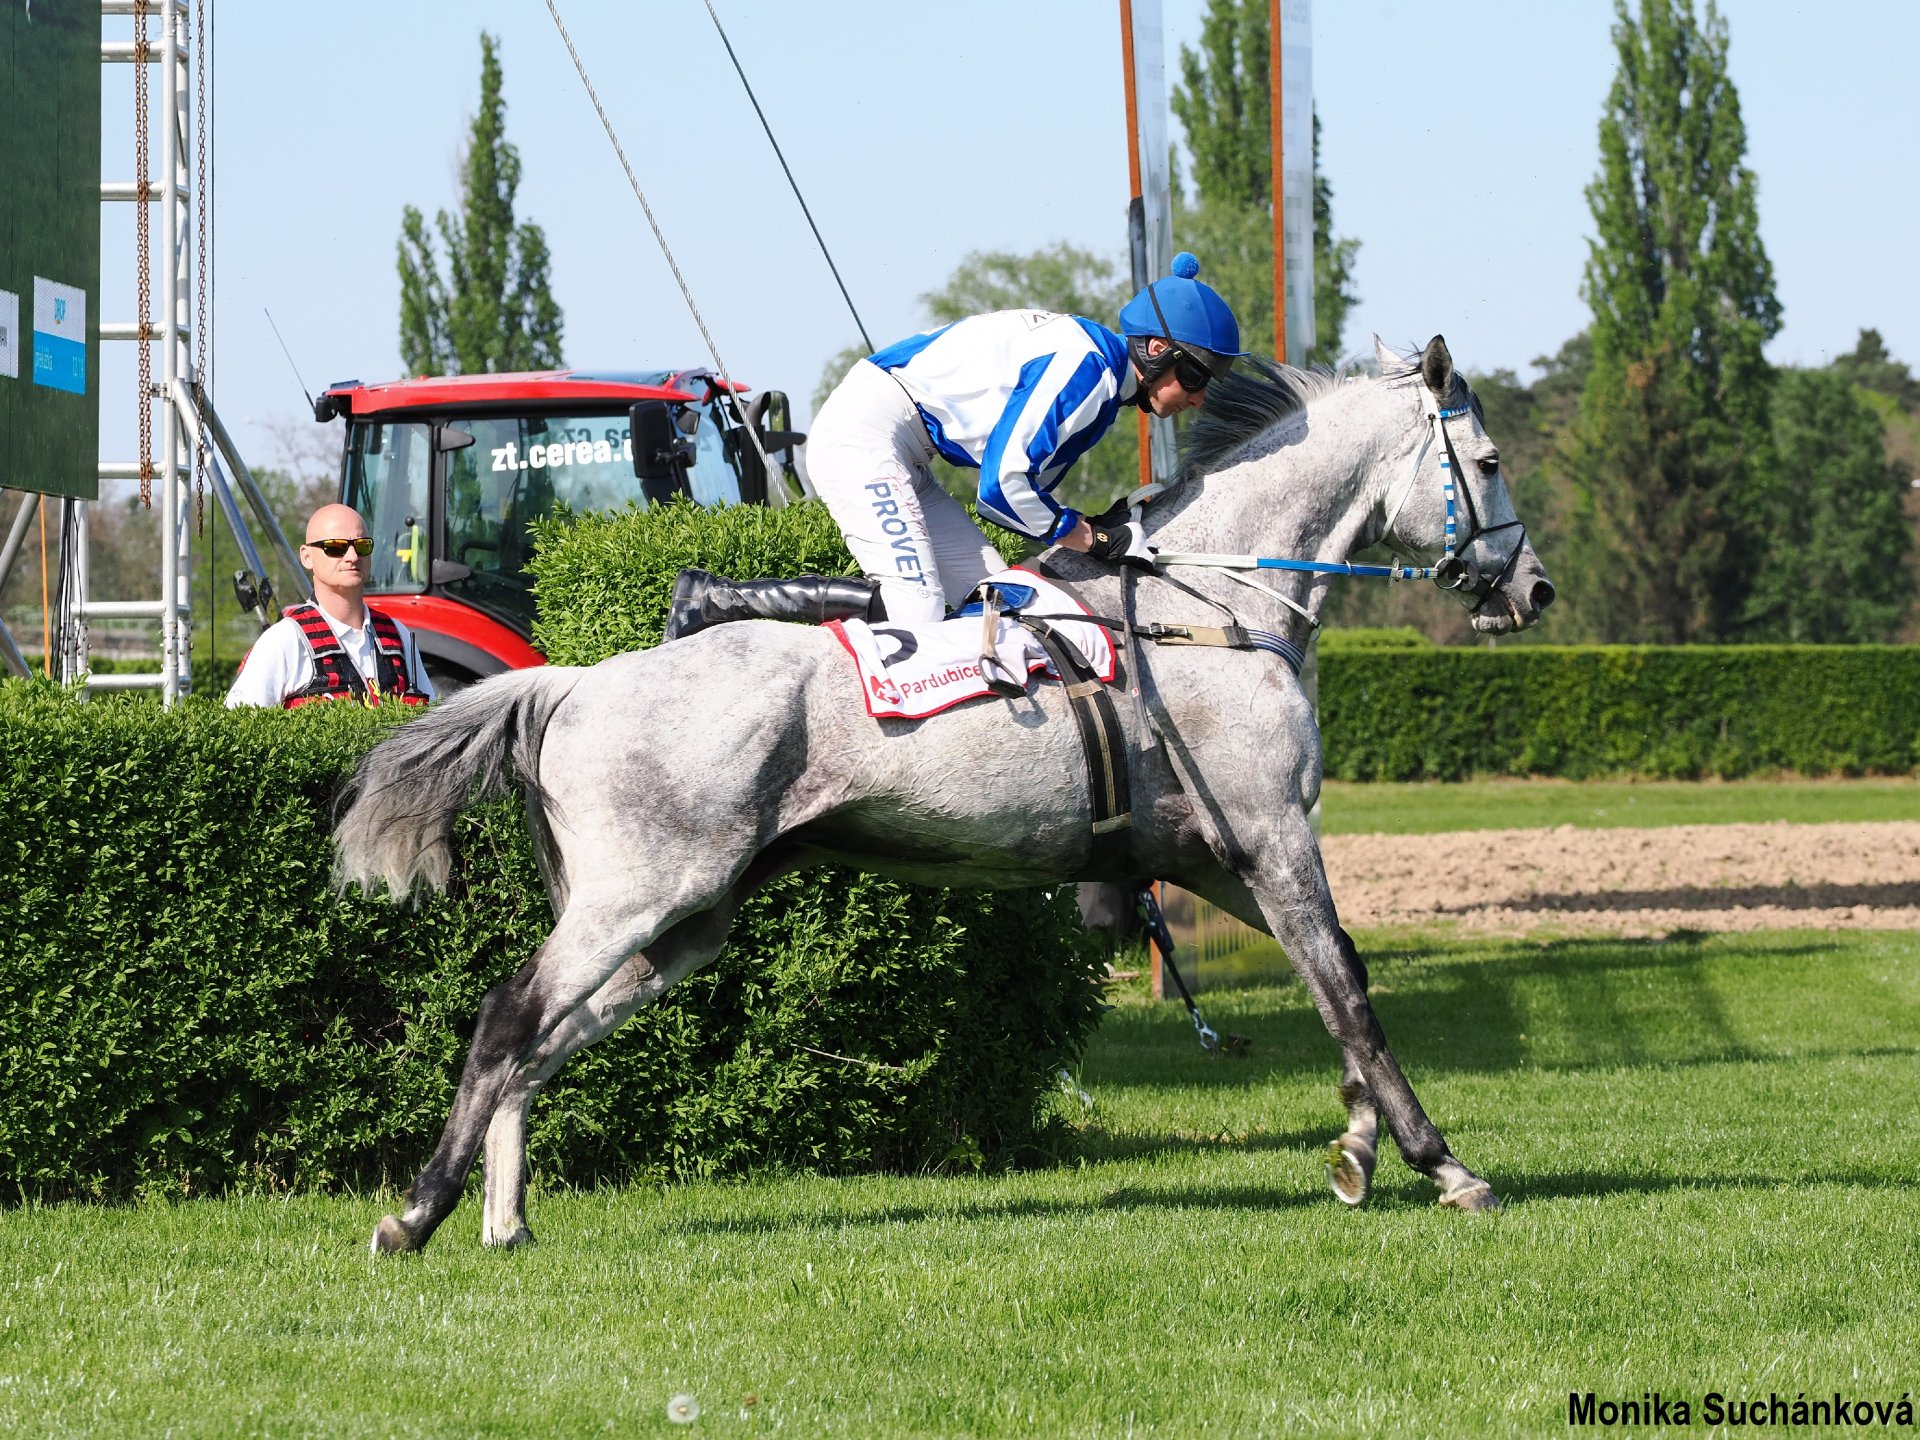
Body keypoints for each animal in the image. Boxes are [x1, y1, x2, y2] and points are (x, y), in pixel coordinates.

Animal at [337, 336, 1551, 1251]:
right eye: (1488, 462)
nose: (1533, 589)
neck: (1211, 605)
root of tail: (575, 682)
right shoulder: (1271, 834)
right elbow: (1347, 987)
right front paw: (1443, 1165)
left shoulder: (1222, 856)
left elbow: (1335, 986)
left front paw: (1357, 1149)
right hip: (641, 893)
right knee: (509, 1015)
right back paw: (415, 1215)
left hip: (688, 917)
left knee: (546, 1038)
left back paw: (505, 1218)